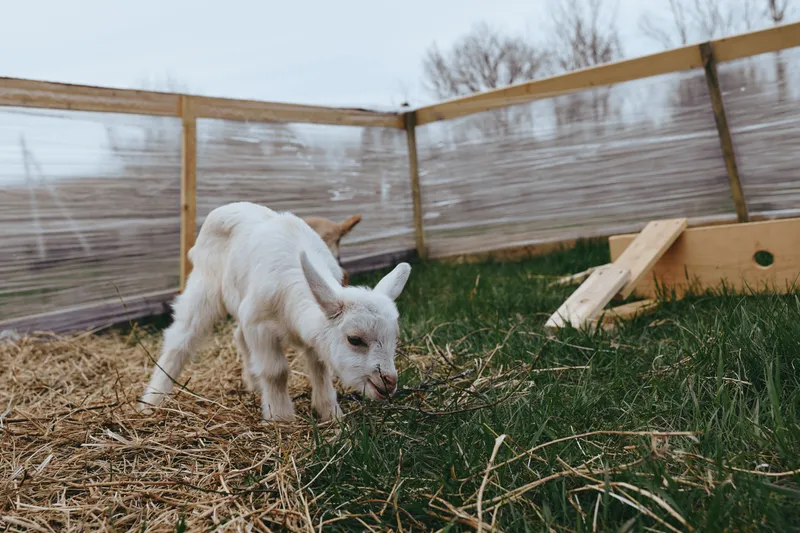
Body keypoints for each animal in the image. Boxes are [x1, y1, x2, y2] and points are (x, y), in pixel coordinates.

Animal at [137, 202, 410, 422]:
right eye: (354, 339)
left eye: (394, 338)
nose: (389, 382)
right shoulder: (260, 325)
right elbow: (276, 371)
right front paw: (281, 418)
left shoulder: (312, 333)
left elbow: (320, 369)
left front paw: (330, 413)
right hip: (205, 285)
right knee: (181, 339)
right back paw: (152, 400)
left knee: (238, 335)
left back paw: (253, 383)